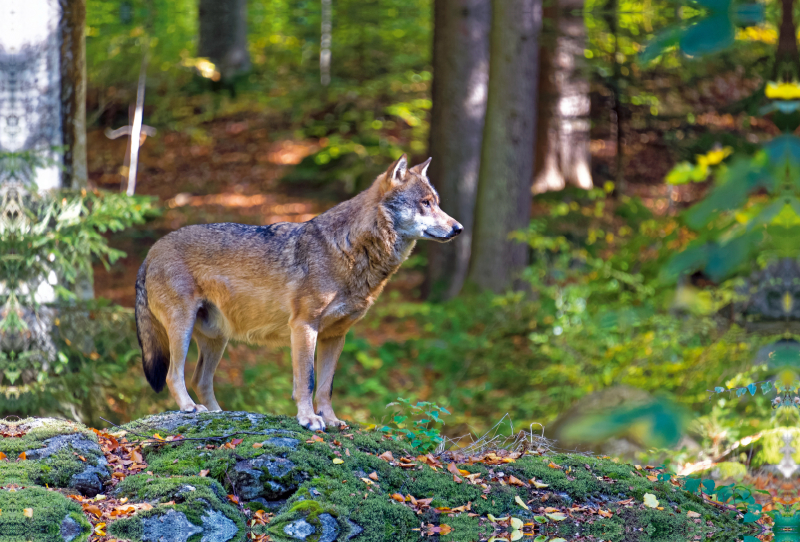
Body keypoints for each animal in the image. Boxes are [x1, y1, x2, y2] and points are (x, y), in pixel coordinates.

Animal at [134, 155, 462, 432]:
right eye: (425, 203)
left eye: (437, 203)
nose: (458, 228)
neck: (350, 249)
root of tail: (151, 250)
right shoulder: (304, 327)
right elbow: (307, 381)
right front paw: (309, 419)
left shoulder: (336, 336)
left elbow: (327, 386)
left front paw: (331, 420)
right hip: (183, 328)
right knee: (174, 375)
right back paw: (190, 408)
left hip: (217, 339)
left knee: (200, 379)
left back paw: (218, 414)